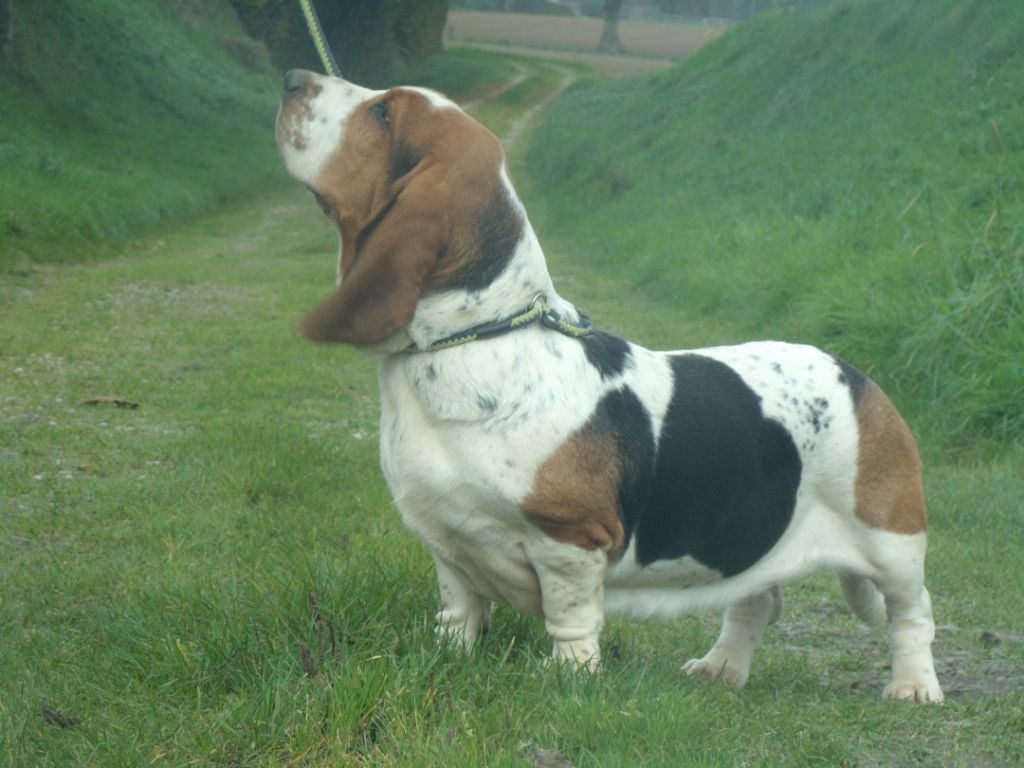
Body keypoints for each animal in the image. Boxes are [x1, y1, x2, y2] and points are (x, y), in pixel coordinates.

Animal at [274, 70, 942, 704]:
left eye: (384, 113)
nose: (292, 77)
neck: (478, 336)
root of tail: (858, 376)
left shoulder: (570, 539)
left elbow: (569, 618)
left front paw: (571, 677)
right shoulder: (449, 541)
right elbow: (458, 608)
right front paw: (448, 656)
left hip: (893, 543)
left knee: (912, 614)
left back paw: (913, 687)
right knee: (757, 601)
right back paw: (720, 669)